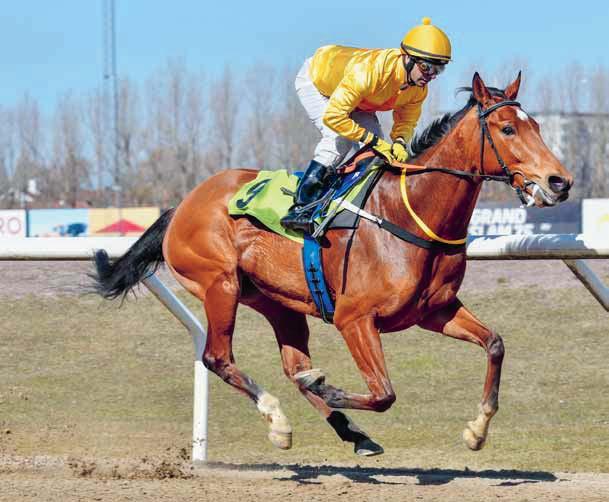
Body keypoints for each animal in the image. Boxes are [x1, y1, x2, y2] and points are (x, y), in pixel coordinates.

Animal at [90, 71, 568, 458]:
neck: (409, 211)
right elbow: (384, 393)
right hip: (220, 286)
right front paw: (332, 389)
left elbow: (495, 344)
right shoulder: (353, 318)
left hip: (275, 300)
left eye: (537, 126)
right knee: (217, 357)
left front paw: (477, 430)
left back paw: (349, 430)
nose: (559, 181)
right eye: (507, 128)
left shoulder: (435, 311)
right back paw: (279, 420)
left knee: (292, 366)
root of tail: (183, 205)